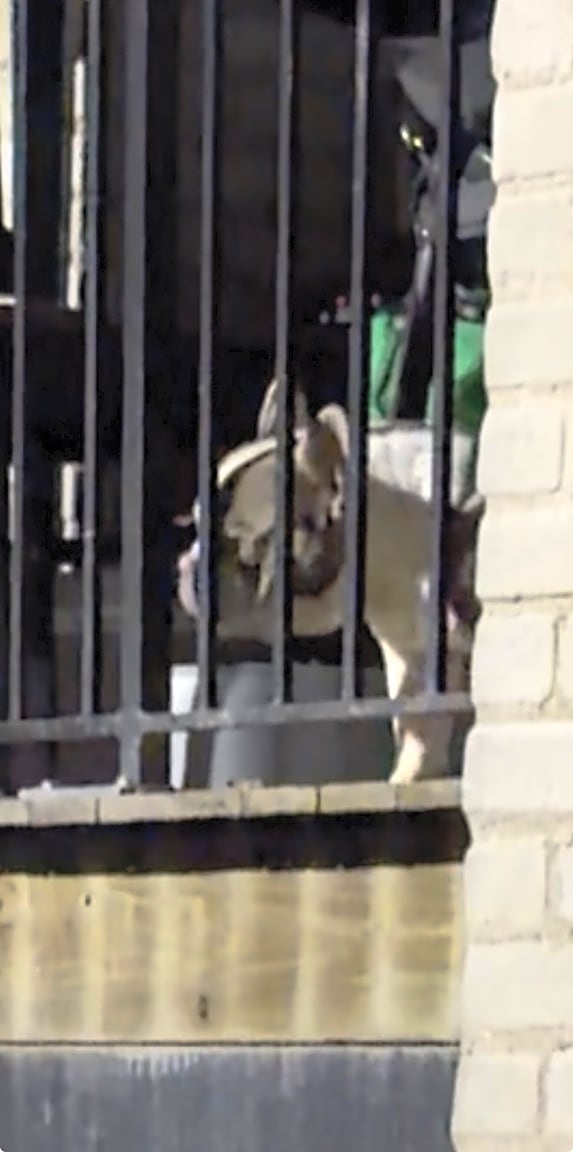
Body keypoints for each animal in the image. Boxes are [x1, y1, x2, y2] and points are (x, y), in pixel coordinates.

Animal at [177, 378, 482, 783]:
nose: (187, 565)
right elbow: (416, 718)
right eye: (196, 523)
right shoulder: (412, 652)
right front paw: (409, 776)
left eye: (246, 539)